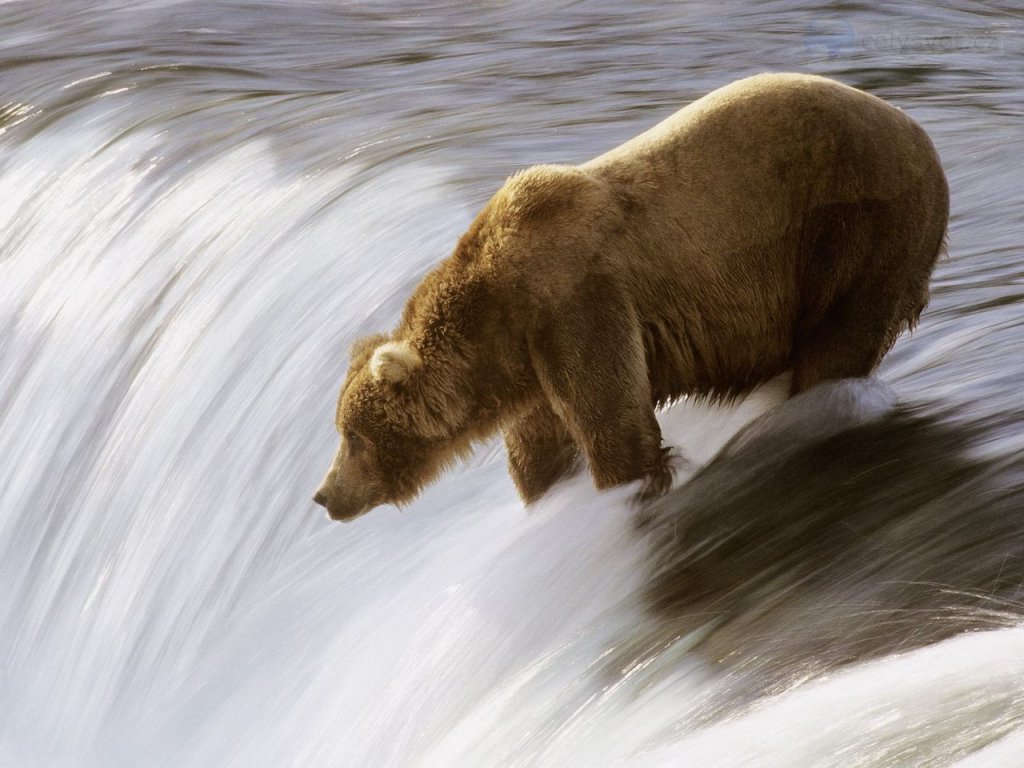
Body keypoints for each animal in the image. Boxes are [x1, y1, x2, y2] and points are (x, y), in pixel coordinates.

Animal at [313, 73, 950, 524]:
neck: (498, 323)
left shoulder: (576, 304)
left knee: (837, 342)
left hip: (855, 229)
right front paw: (549, 496)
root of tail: (921, 133)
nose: (323, 494)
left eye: (353, 435)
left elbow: (614, 425)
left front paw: (629, 491)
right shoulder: (532, 365)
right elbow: (540, 452)